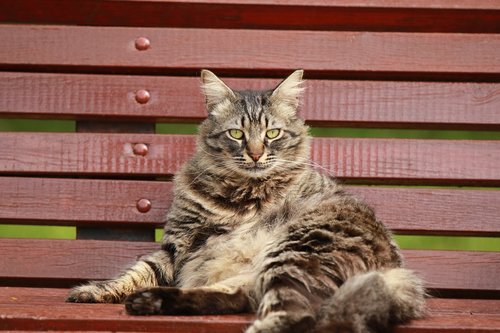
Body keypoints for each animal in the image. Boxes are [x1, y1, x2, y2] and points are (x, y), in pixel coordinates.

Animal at [67, 69, 426, 332]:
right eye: (236, 134)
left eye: (272, 134)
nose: (255, 154)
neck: (241, 196)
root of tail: (396, 272)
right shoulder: (178, 245)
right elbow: (135, 272)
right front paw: (95, 291)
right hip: (260, 271)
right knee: (237, 296)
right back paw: (150, 301)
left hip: (295, 253)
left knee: (294, 317)